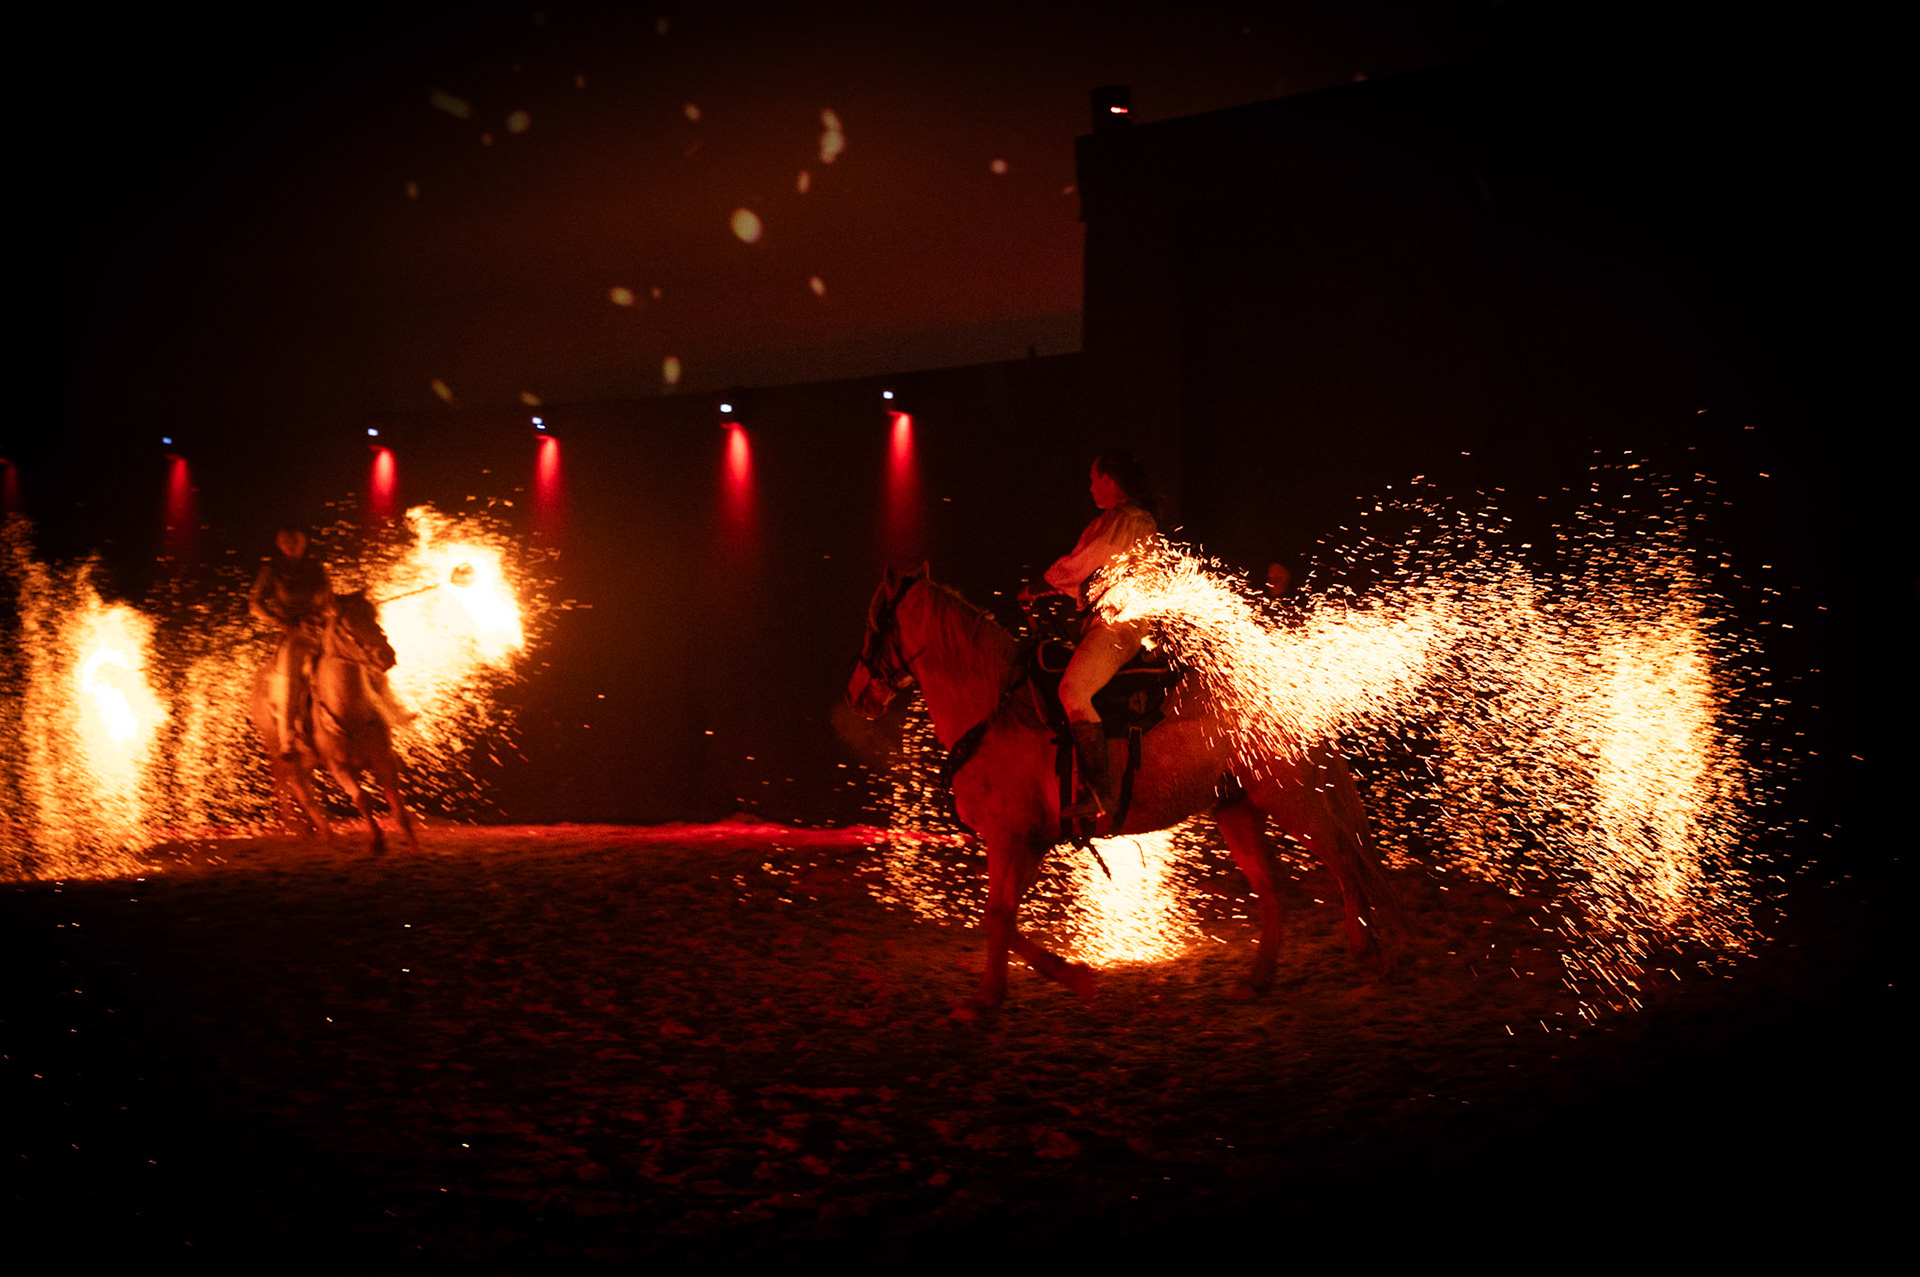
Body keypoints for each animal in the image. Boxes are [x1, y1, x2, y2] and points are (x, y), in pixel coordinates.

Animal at [250, 590, 418, 854]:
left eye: (373, 616)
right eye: (345, 627)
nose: (384, 655)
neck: (350, 711)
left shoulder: (383, 759)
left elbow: (395, 799)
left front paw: (412, 844)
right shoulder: (338, 765)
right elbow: (361, 798)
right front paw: (377, 842)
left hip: (306, 760)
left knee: (301, 788)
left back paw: (318, 831)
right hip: (282, 754)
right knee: (296, 789)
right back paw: (316, 831)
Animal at [848, 566, 1398, 1012]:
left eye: (875, 623)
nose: (857, 694)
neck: (994, 708)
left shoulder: (1010, 838)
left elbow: (998, 917)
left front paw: (990, 998)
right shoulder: (1030, 842)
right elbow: (1005, 919)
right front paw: (1069, 977)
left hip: (1293, 797)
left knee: (1344, 858)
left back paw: (1373, 955)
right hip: (1236, 809)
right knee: (1275, 887)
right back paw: (1258, 980)